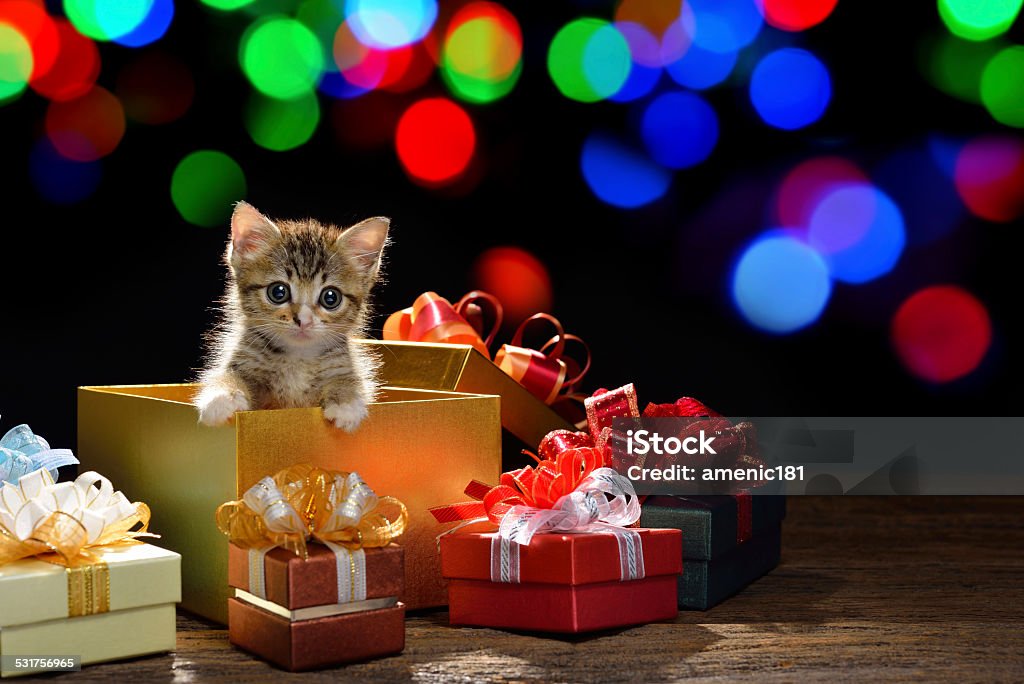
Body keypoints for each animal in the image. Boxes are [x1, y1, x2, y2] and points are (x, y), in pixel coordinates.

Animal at [197, 200, 389, 430]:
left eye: (330, 297)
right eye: (278, 292)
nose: (303, 321)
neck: (298, 358)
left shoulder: (341, 364)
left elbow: (348, 380)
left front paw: (346, 403)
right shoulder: (244, 362)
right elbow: (228, 374)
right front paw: (223, 396)